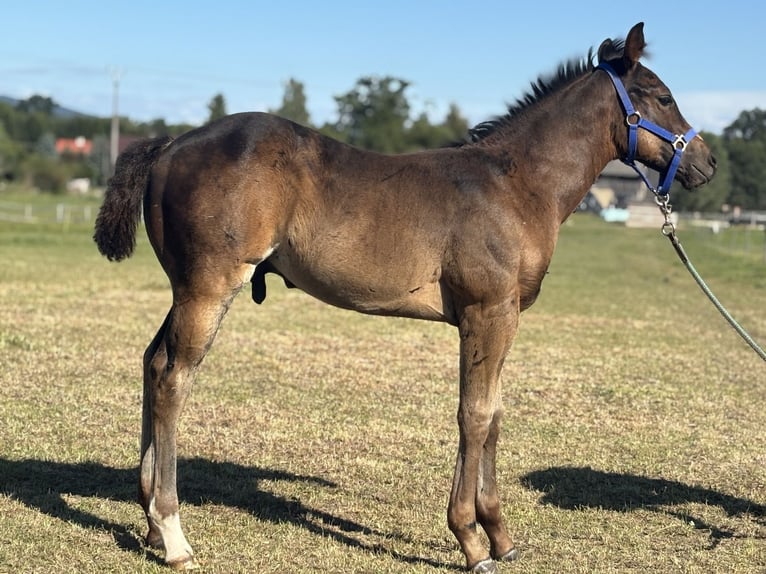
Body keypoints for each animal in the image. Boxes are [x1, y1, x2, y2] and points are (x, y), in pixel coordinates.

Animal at [93, 22, 716, 573]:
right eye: (663, 96)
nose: (707, 162)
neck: (515, 184)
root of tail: (171, 144)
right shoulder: (487, 312)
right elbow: (474, 414)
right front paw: (471, 541)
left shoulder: (503, 317)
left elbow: (494, 415)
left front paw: (501, 535)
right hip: (209, 287)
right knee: (174, 377)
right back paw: (173, 534)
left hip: (185, 289)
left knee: (152, 361)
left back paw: (150, 522)